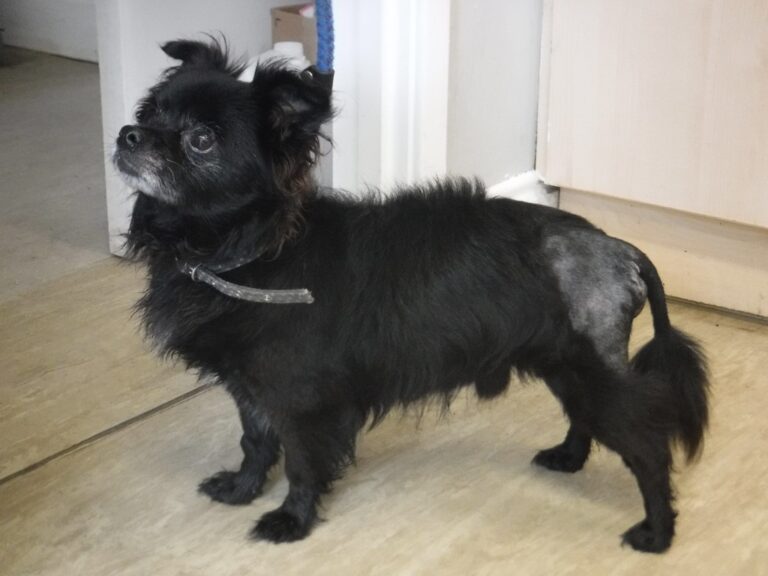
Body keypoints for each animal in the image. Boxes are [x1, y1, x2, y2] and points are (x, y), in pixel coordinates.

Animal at [115, 38, 709, 553]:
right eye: (149, 112)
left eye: (202, 139)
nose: (126, 133)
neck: (252, 251)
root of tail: (621, 248)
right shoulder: (252, 388)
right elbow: (256, 444)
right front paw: (241, 490)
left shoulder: (303, 401)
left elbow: (303, 464)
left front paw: (291, 521)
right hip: (566, 368)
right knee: (583, 421)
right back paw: (567, 458)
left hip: (597, 378)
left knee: (650, 451)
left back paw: (657, 533)